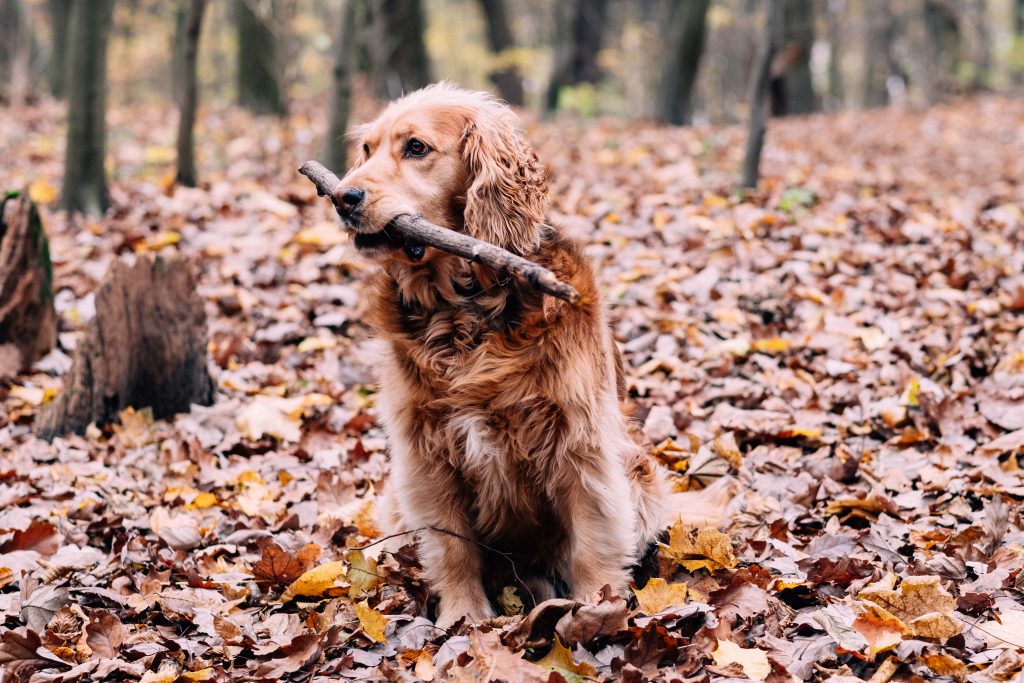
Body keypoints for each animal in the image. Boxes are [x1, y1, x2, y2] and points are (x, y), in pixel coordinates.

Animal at [333, 82, 729, 626]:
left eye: (415, 148)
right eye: (367, 150)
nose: (341, 196)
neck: (466, 311)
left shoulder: (581, 442)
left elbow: (592, 537)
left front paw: (597, 608)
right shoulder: (423, 452)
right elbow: (451, 547)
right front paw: (462, 619)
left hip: (638, 469)